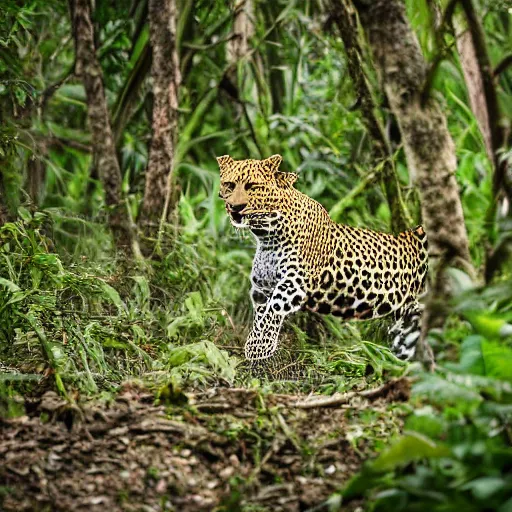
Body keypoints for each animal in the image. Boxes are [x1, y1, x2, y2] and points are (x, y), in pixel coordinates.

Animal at [216, 154, 428, 370]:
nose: (235, 207)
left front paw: (259, 348)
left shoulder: (294, 282)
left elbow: (272, 311)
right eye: (229, 185)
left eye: (252, 186)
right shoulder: (262, 287)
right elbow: (261, 317)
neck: (267, 235)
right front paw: (258, 348)